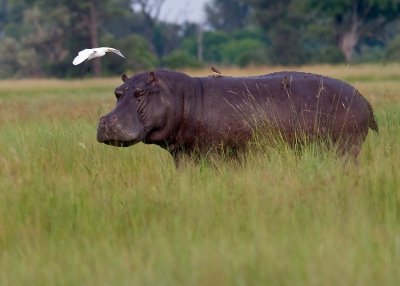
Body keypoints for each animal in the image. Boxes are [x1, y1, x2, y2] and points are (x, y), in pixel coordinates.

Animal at [97, 69, 378, 165]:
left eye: (140, 92)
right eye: (117, 92)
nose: (106, 121)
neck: (183, 97)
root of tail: (362, 97)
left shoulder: (214, 153)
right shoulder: (183, 155)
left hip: (346, 147)